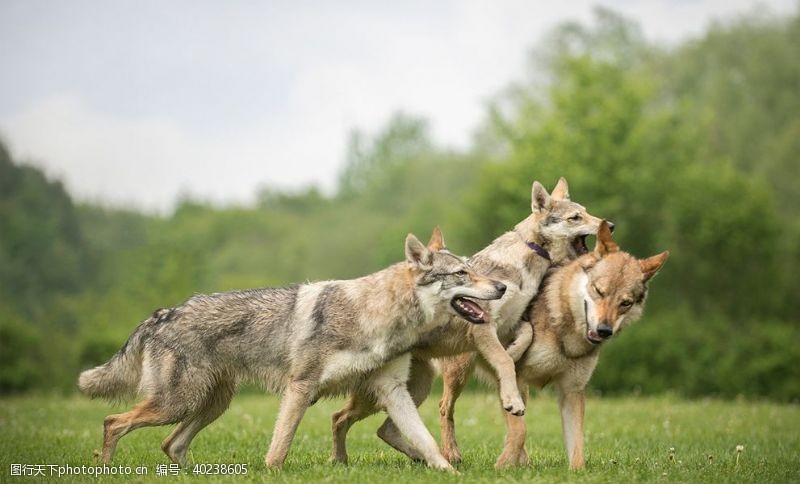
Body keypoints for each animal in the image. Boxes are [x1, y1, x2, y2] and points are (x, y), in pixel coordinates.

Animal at [81, 229, 506, 470]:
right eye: (463, 273)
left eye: (474, 267)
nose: (502, 287)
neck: (376, 315)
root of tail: (163, 313)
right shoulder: (300, 387)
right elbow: (280, 446)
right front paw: (272, 472)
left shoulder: (393, 392)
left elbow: (427, 442)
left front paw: (449, 472)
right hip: (177, 404)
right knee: (113, 422)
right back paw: (106, 471)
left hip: (210, 406)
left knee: (170, 444)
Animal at [330, 179, 600, 466]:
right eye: (575, 217)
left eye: (587, 211)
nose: (610, 225)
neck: (526, 261)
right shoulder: (483, 326)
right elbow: (504, 362)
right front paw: (511, 392)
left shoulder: (512, 322)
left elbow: (523, 338)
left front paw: (514, 355)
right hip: (437, 379)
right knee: (351, 416)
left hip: (415, 387)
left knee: (383, 428)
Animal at [438, 222, 668, 468]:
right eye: (599, 290)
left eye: (625, 303)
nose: (604, 330)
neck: (566, 336)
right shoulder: (513, 379)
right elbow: (520, 430)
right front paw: (502, 466)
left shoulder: (572, 392)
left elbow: (577, 448)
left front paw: (575, 471)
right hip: (460, 374)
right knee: (444, 407)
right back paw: (451, 455)